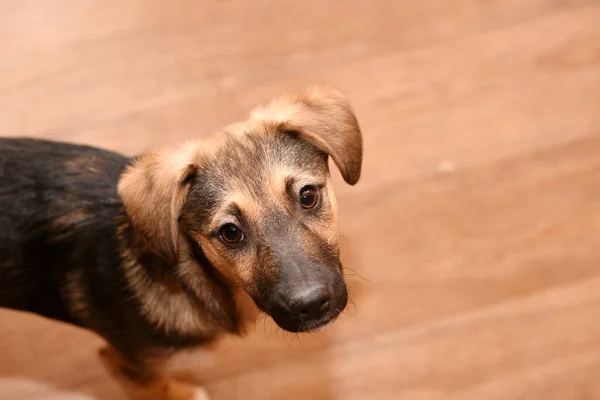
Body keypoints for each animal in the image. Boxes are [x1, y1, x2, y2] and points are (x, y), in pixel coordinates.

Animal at [0, 86, 360, 398]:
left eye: (308, 196)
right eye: (230, 233)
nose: (311, 305)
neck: (191, 281)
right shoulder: (127, 364)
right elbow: (161, 388)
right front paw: (187, 393)